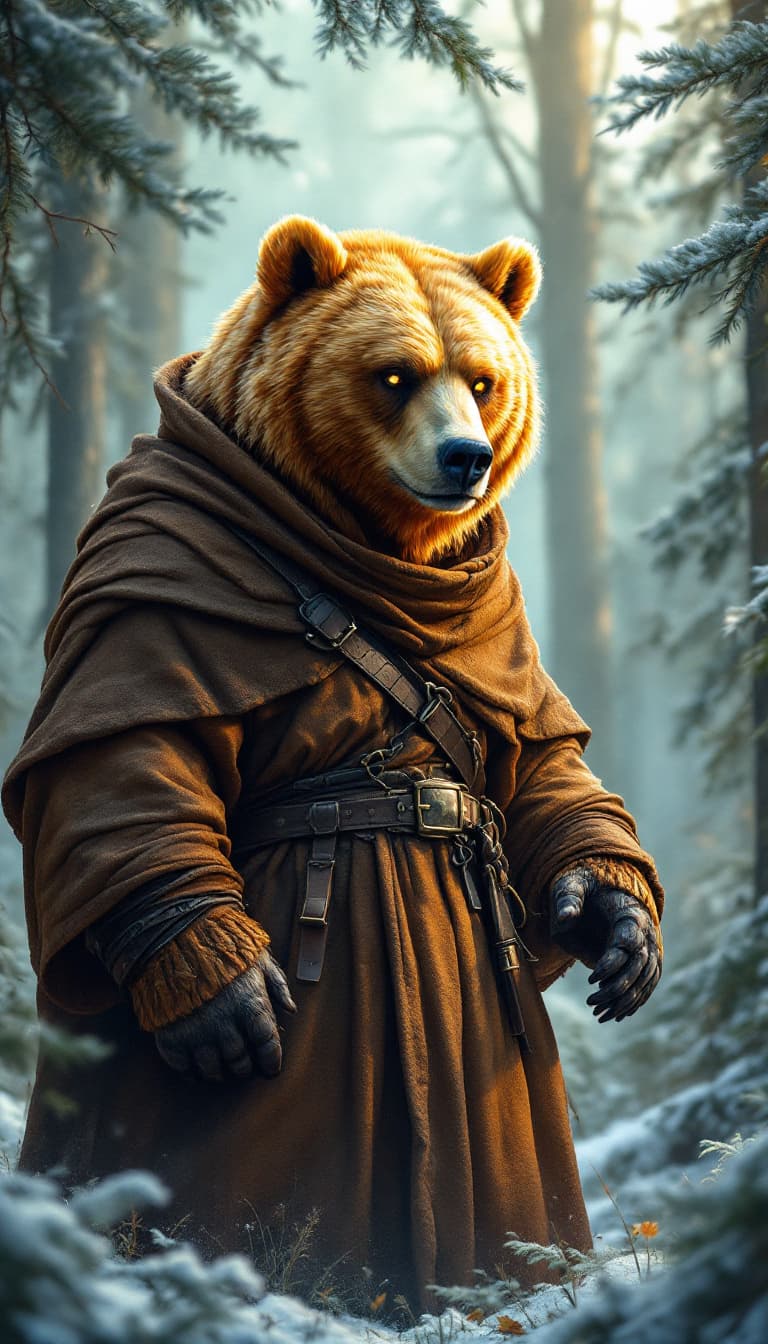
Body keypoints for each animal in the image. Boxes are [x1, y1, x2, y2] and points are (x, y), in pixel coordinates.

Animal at [3, 216, 663, 1314]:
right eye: (395, 374)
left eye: (482, 378)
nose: (466, 456)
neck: (371, 550)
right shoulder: (159, 574)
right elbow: (134, 755)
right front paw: (221, 998)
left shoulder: (494, 627)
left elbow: (538, 757)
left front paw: (614, 924)